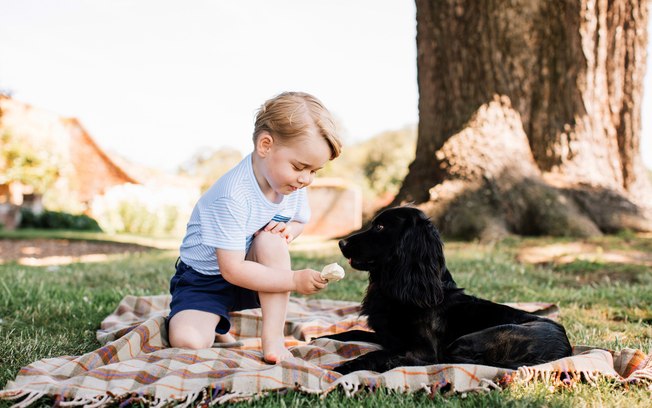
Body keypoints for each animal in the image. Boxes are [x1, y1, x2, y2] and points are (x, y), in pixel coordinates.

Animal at [326, 209, 572, 374]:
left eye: (380, 227)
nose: (341, 243)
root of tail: (565, 350)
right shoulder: (388, 336)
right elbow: (349, 333)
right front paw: (321, 338)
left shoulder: (423, 348)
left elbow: (378, 353)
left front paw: (346, 366)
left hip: (470, 340)